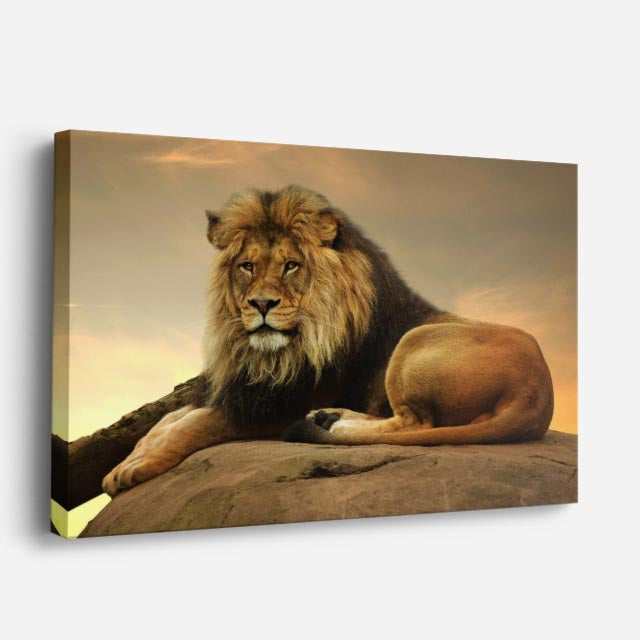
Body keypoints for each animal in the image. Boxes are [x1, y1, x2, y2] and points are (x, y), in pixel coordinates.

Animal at [102, 185, 554, 496]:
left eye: (290, 266)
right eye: (247, 266)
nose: (261, 304)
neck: (274, 354)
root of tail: (537, 396)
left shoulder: (276, 405)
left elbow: (195, 424)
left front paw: (134, 467)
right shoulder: (243, 388)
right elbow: (167, 421)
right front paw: (130, 457)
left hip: (414, 341)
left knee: (416, 423)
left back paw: (332, 424)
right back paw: (330, 418)